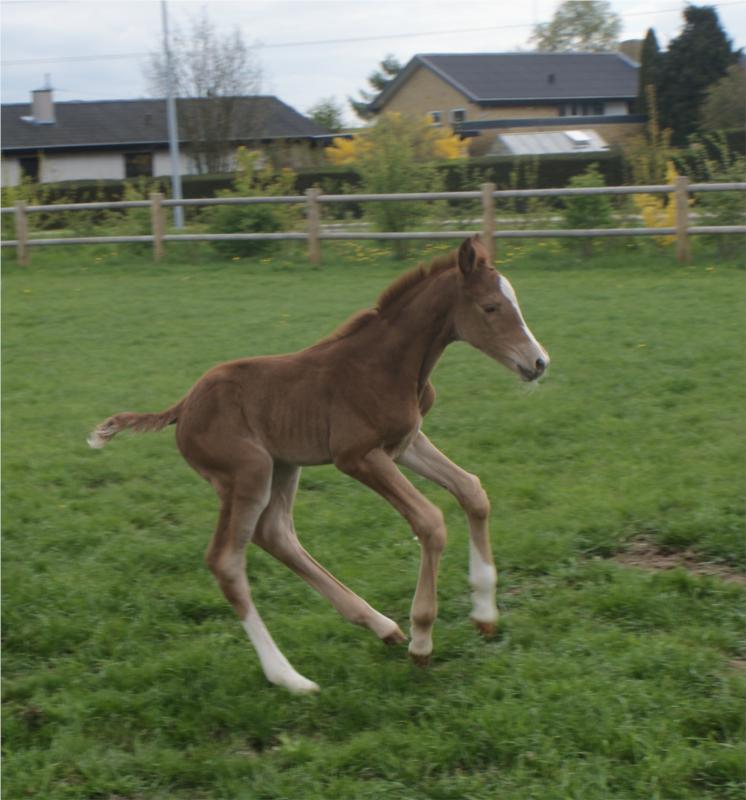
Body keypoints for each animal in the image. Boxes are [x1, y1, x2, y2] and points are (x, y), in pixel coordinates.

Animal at [90, 234, 548, 692]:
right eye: (491, 307)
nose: (539, 363)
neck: (389, 364)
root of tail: (183, 407)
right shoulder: (357, 456)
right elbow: (430, 521)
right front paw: (422, 640)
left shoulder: (406, 443)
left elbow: (471, 490)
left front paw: (485, 614)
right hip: (247, 472)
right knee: (227, 561)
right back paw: (289, 677)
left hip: (283, 467)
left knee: (275, 534)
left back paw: (380, 626)